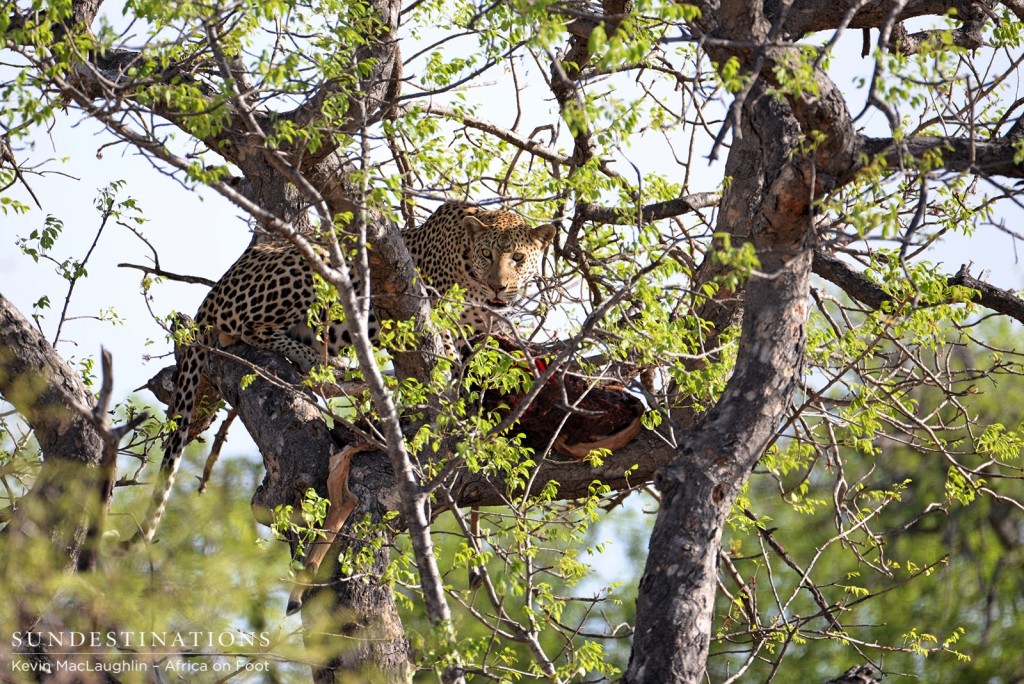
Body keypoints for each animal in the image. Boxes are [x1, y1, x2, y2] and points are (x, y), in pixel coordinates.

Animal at [135, 202, 557, 544]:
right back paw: (317, 361)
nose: (499, 287)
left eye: (518, 258)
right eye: (487, 254)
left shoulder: (477, 330)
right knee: (246, 327)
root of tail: (214, 291)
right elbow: (443, 346)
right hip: (309, 267)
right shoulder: (425, 309)